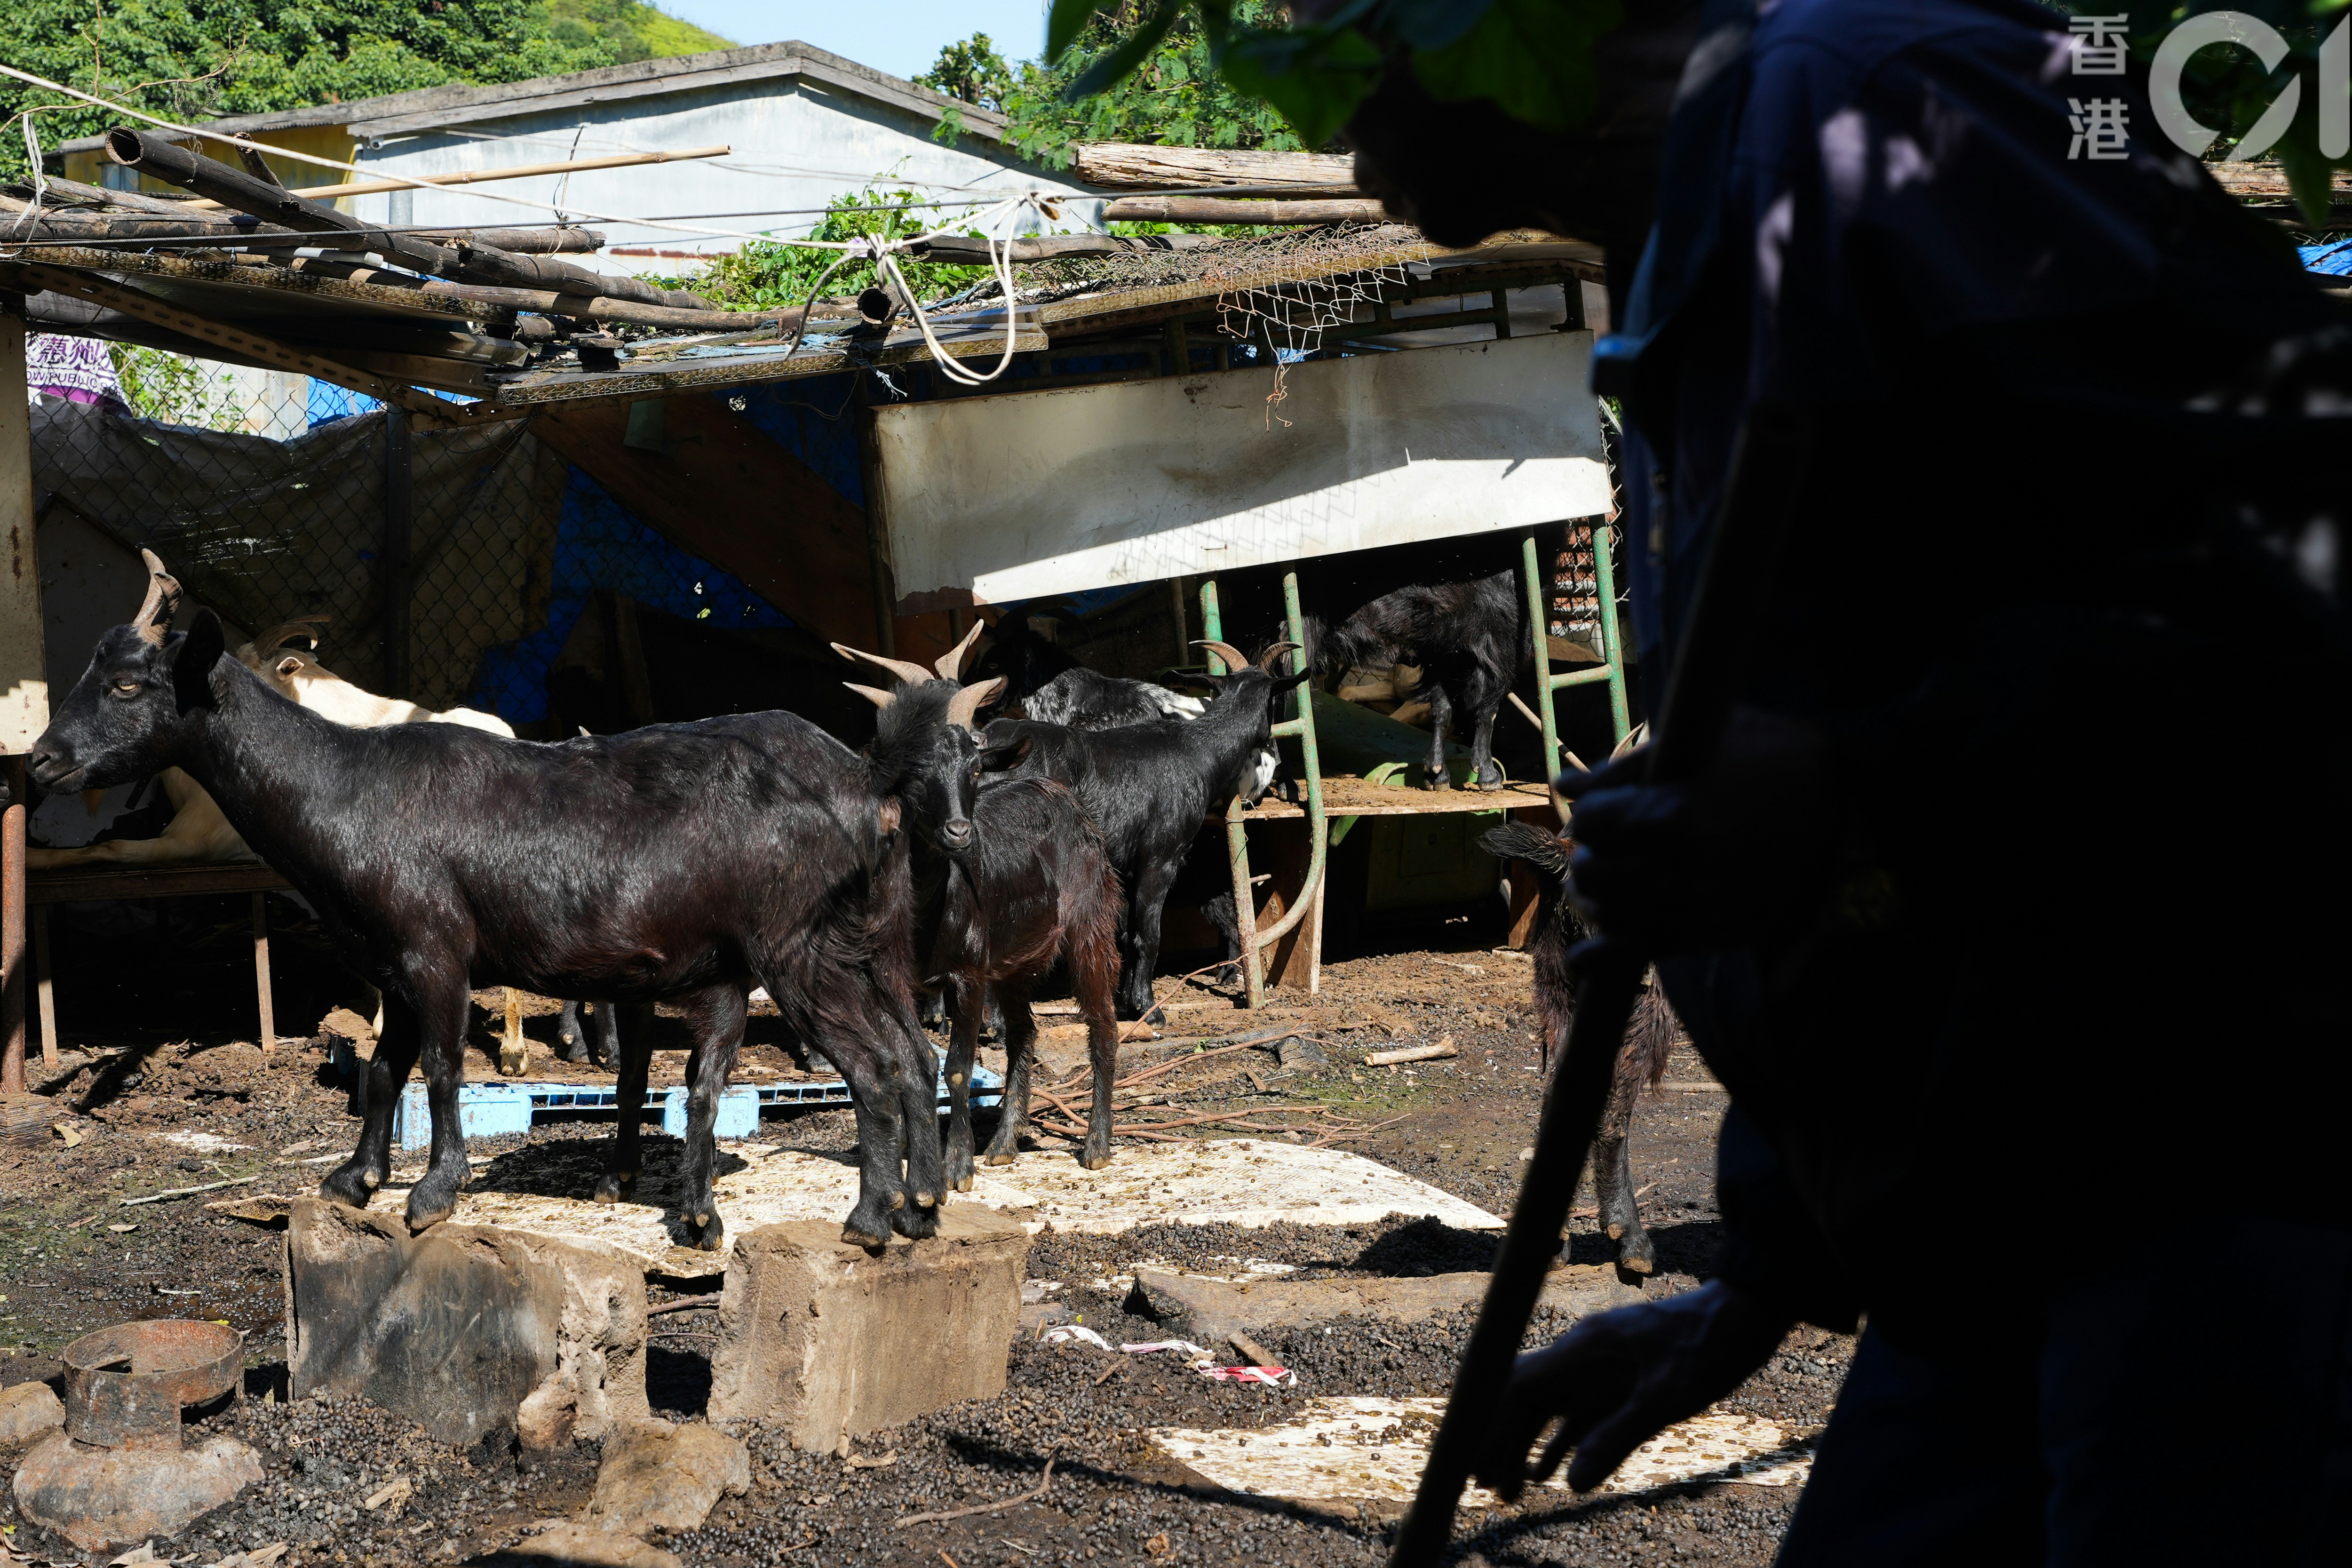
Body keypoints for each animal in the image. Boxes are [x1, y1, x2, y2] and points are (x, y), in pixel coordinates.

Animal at [30, 552, 936, 1250]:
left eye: (127, 684)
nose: (40, 761)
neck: (348, 787)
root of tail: (866, 779)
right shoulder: (394, 961)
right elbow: (385, 1068)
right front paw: (354, 1178)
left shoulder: (436, 948)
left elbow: (440, 1067)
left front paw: (433, 1191)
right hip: (860, 946)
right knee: (912, 1051)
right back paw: (920, 1205)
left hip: (795, 948)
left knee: (875, 1065)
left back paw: (868, 1218)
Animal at [978, 644, 1308, 1025]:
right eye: (1274, 701)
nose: (1273, 751)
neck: (1200, 751)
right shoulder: (1160, 857)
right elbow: (1149, 935)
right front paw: (1149, 1009)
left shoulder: (1124, 865)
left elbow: (1127, 933)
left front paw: (1125, 1001)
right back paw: (996, 1024)